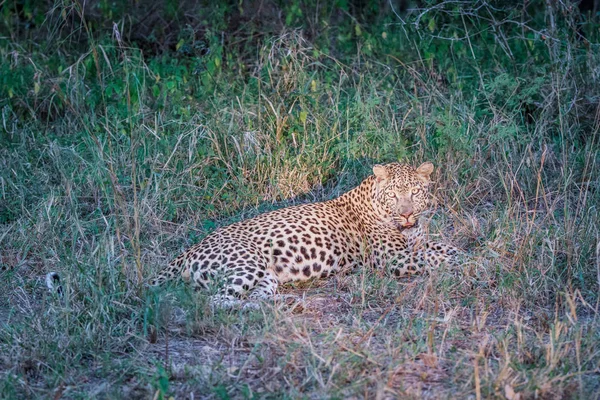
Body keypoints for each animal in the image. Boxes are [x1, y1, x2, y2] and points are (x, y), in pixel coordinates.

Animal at [150, 161, 460, 308]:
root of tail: (188, 250)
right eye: (394, 195)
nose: (407, 214)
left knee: (252, 297)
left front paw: (464, 255)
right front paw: (467, 263)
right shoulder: (395, 259)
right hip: (247, 264)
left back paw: (284, 304)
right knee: (218, 302)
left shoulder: (417, 243)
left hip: (267, 276)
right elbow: (436, 259)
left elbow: (446, 248)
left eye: (415, 192)